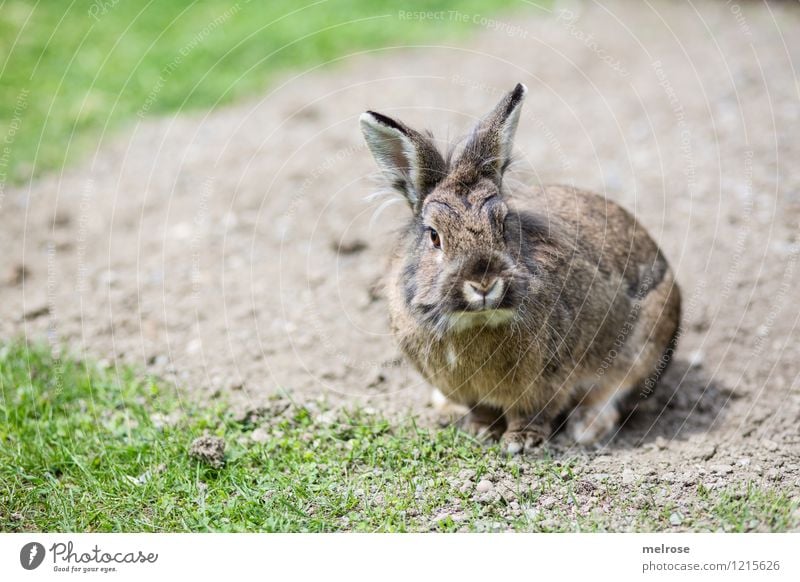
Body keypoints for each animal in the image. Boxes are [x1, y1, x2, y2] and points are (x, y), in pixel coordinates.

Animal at [362, 83, 680, 456]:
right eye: (434, 236)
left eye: (502, 224)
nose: (483, 282)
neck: (477, 321)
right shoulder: (466, 388)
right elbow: (481, 410)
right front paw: (479, 432)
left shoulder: (547, 381)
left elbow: (534, 411)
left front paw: (520, 441)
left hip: (648, 340)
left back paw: (586, 427)